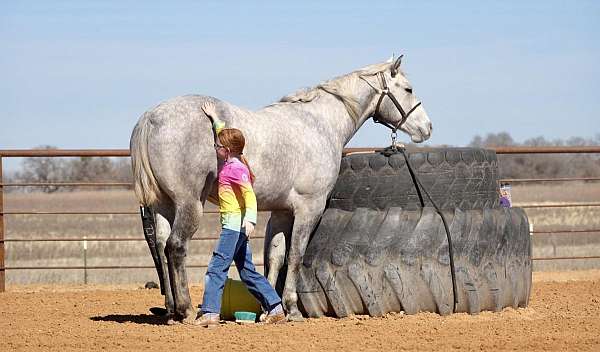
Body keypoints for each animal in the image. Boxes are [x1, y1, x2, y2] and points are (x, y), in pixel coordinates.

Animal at [130, 55, 432, 322]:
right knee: (176, 247)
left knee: (160, 246)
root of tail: (151, 117)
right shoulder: (309, 208)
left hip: (164, 205)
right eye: (408, 89)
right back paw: (186, 309)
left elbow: (274, 257)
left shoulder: (282, 212)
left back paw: (171, 310)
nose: (427, 128)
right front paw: (292, 309)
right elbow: (295, 256)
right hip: (189, 204)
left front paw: (268, 310)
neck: (320, 124)